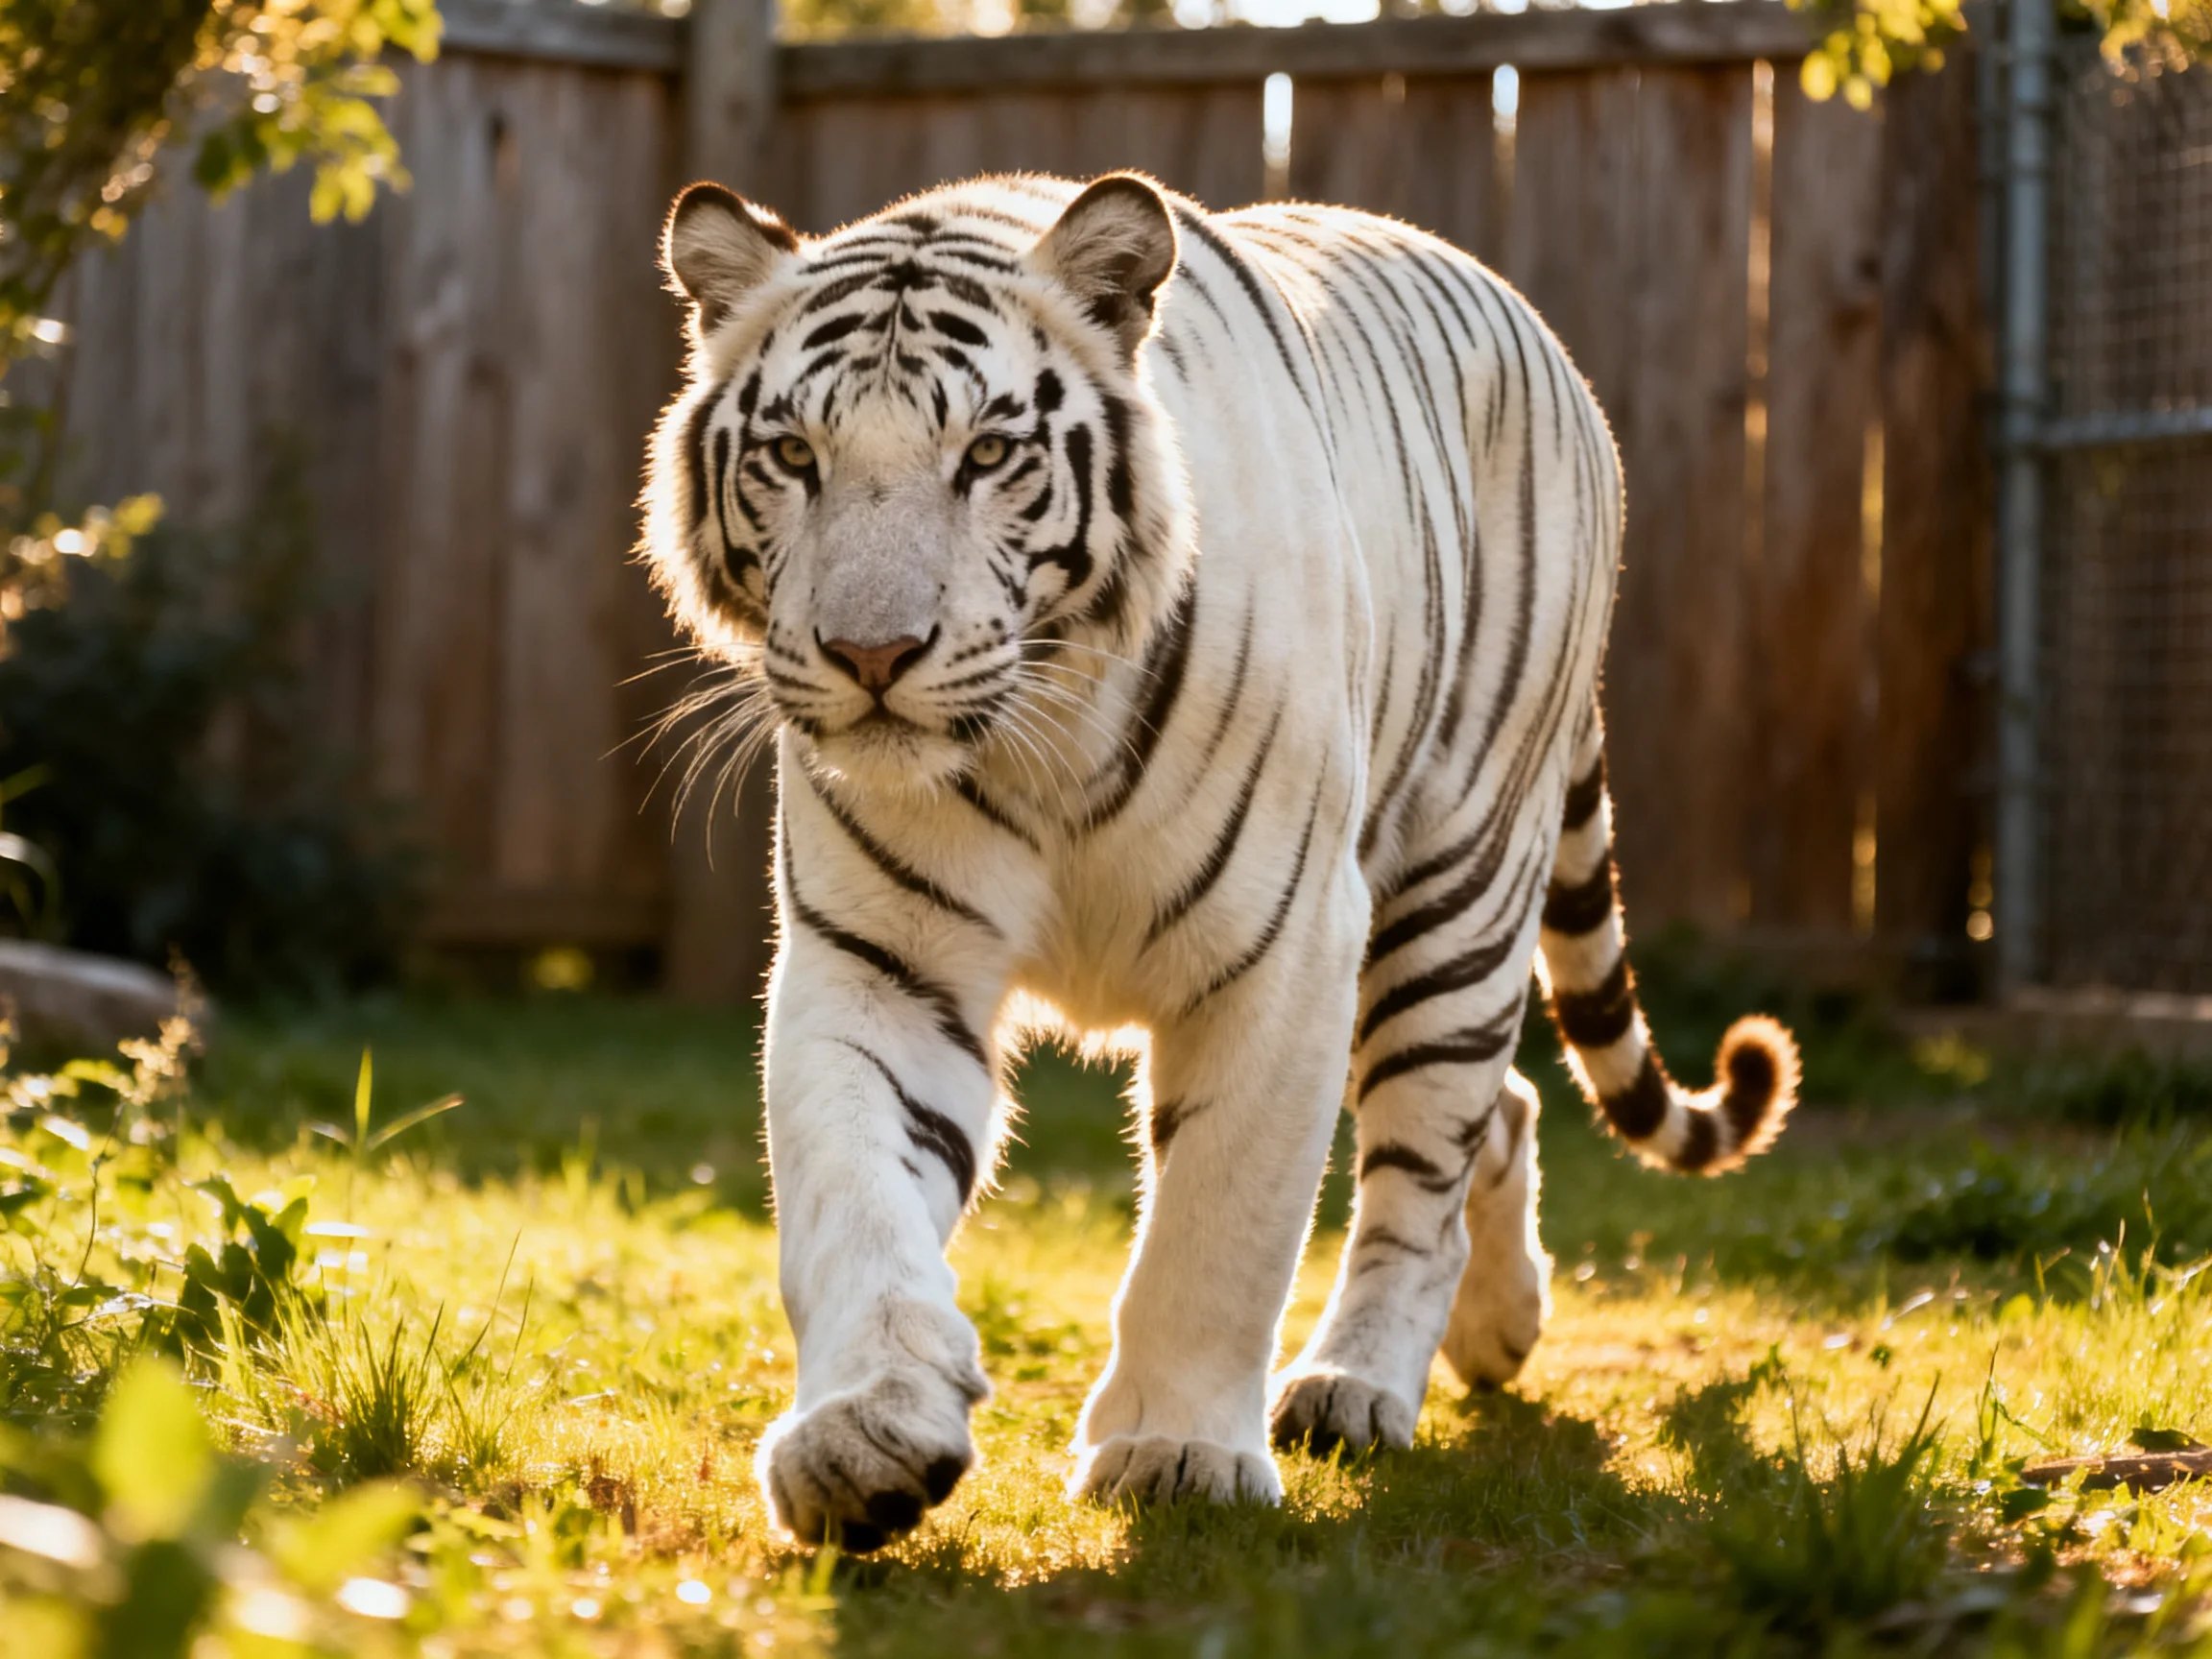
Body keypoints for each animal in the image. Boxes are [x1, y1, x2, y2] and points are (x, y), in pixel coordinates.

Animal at [640, 169, 1799, 1552]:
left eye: (988, 454)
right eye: (793, 458)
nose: (873, 655)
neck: (1039, 748)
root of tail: (1527, 321)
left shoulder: (1284, 947)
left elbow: (1219, 1221)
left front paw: (1176, 1452)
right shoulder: (878, 963)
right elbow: (853, 1194)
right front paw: (863, 1435)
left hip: (1457, 890)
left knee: (1426, 1158)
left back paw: (1358, 1383)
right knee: (1505, 1109)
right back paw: (1501, 1331)